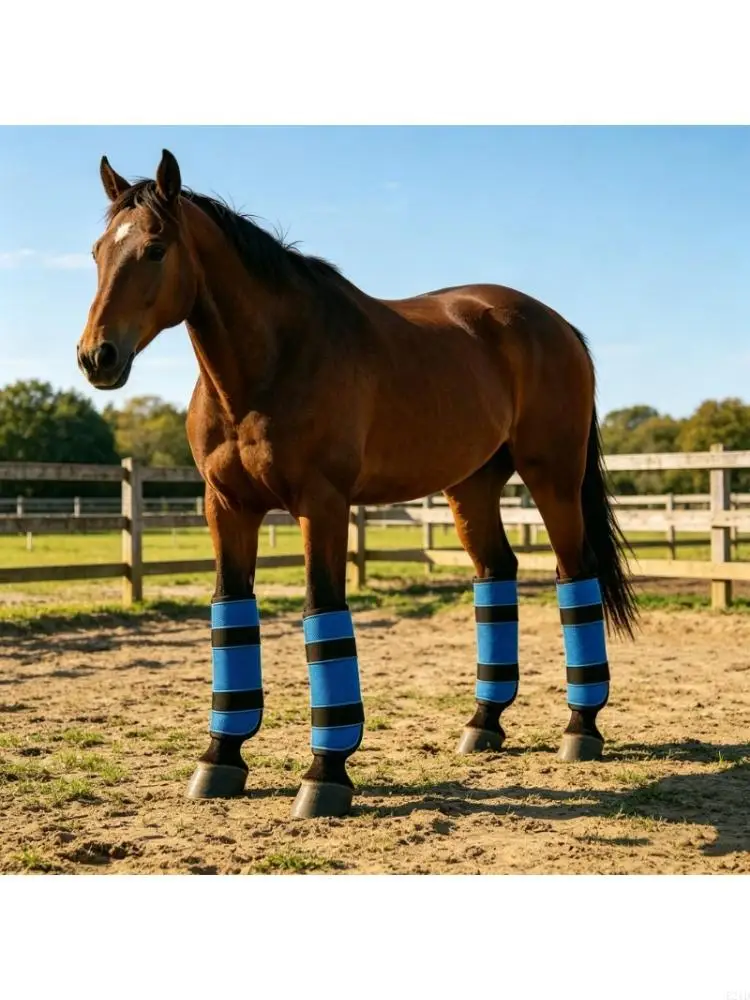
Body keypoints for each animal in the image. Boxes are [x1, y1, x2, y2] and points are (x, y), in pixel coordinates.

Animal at [77, 149, 638, 819]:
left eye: (156, 248)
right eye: (96, 251)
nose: (97, 357)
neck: (272, 363)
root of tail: (555, 324)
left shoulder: (322, 505)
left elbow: (323, 613)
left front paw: (326, 774)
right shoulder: (227, 507)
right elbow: (231, 611)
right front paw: (220, 758)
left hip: (553, 477)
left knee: (574, 576)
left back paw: (582, 727)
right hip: (472, 487)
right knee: (496, 574)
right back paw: (484, 721)